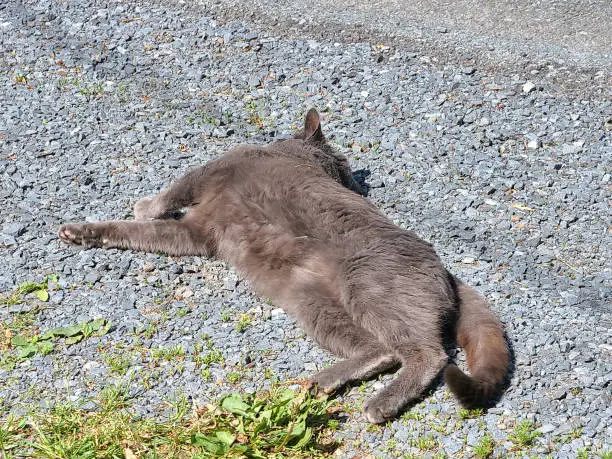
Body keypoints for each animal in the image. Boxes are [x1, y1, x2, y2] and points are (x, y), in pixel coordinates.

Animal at [58, 108, 506, 424]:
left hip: (367, 285)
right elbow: (136, 230)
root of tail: (446, 272)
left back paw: (379, 404)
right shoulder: (196, 233)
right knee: (382, 351)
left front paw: (141, 206)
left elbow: (169, 194)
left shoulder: (215, 168)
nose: (352, 181)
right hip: (308, 300)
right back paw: (321, 382)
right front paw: (82, 232)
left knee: (428, 354)